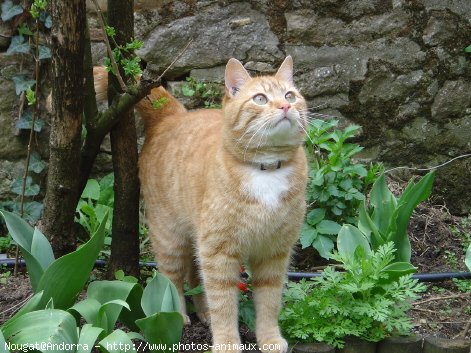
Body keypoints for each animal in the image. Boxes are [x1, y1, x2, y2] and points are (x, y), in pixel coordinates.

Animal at [96, 57, 310, 352]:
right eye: (260, 98)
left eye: (290, 95)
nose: (285, 106)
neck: (266, 170)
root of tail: (173, 115)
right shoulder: (219, 252)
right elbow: (224, 304)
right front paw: (227, 342)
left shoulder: (274, 252)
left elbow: (269, 302)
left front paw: (268, 339)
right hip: (171, 239)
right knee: (172, 279)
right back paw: (179, 315)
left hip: (199, 242)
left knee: (196, 276)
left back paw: (203, 312)